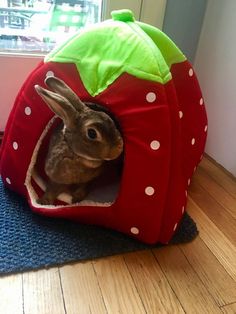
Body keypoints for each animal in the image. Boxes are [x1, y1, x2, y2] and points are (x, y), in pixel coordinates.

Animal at [34, 76, 124, 206]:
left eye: (110, 119)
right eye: (92, 133)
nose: (119, 147)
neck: (77, 155)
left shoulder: (86, 181)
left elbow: (83, 187)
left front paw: (77, 198)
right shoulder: (56, 177)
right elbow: (52, 189)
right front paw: (43, 202)